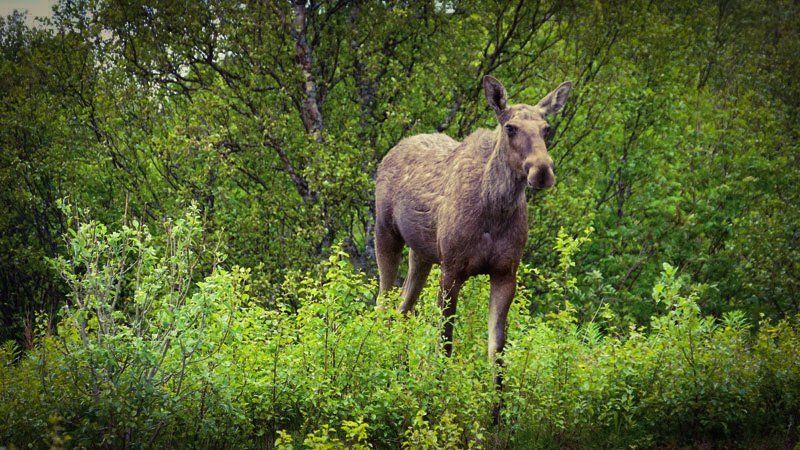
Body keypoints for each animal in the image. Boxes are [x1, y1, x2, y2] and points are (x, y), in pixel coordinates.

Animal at [374, 76, 568, 366]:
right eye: (510, 127)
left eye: (546, 129)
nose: (542, 170)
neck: (494, 213)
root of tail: (391, 152)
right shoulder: (452, 269)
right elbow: (445, 343)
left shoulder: (505, 273)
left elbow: (496, 350)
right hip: (385, 233)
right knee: (383, 303)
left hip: (422, 253)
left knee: (403, 307)